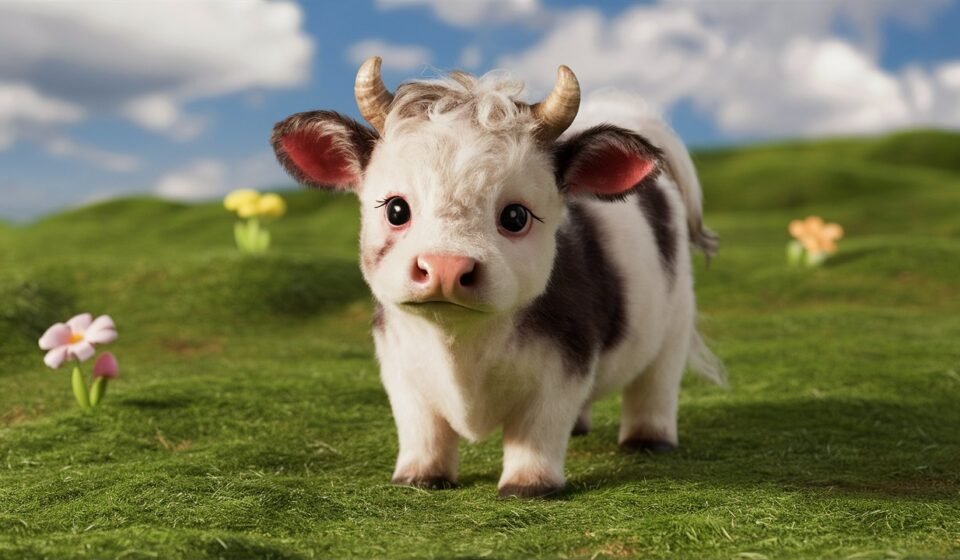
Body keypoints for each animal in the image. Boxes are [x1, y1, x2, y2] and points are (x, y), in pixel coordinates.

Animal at [271, 57, 725, 498]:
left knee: (655, 384)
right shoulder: (399, 369)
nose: (445, 267)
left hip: (675, 321)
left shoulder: (562, 370)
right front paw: (418, 478)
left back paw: (648, 440)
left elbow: (536, 434)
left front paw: (529, 484)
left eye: (515, 216)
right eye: (396, 209)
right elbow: (422, 429)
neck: (460, 348)